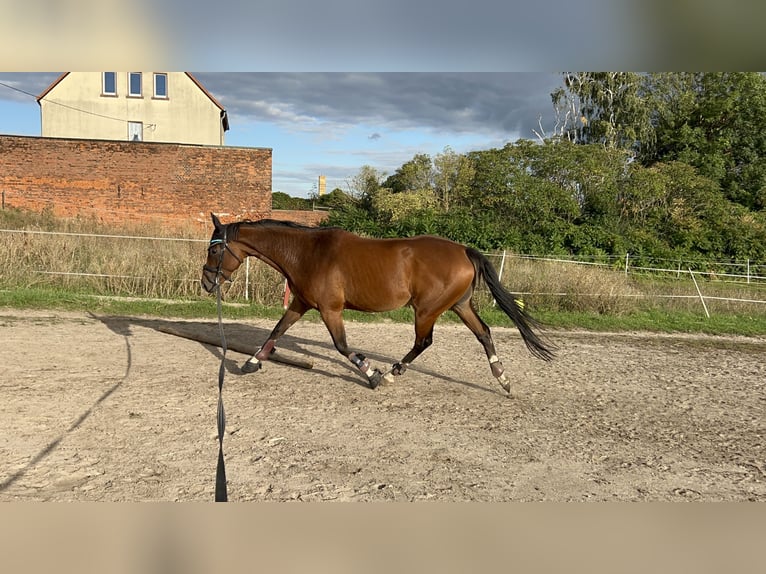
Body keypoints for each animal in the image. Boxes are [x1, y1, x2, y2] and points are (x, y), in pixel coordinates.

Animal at [201, 215, 556, 396]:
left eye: (215, 251)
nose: (206, 283)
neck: (308, 253)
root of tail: (464, 250)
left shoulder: (330, 309)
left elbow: (343, 346)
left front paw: (371, 373)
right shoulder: (301, 303)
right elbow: (276, 331)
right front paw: (251, 363)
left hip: (426, 310)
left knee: (423, 342)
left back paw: (391, 374)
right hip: (460, 305)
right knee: (484, 333)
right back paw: (503, 380)